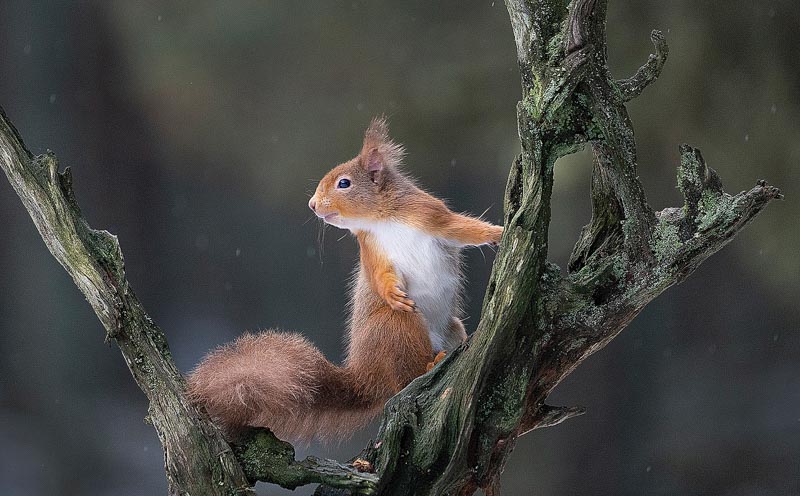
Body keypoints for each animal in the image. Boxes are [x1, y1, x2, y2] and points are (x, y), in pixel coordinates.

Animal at [187, 118, 503, 442]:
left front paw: (498, 233)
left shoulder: (430, 215)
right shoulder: (371, 252)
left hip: (448, 328)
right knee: (404, 378)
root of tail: (365, 379)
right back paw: (430, 362)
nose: (312, 205)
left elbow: (462, 228)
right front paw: (391, 293)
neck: (382, 219)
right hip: (394, 325)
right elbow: (380, 277)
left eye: (344, 183)